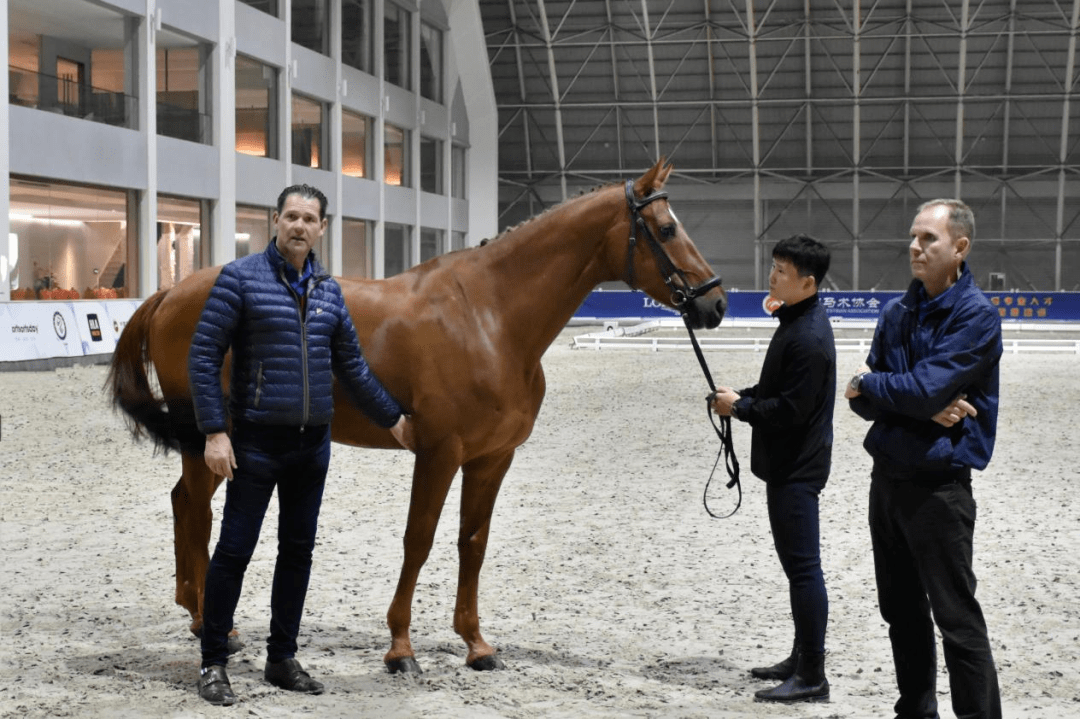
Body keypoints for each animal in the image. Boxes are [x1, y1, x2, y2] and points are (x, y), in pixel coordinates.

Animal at [108, 158, 727, 673]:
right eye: (667, 230)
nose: (715, 303)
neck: (490, 318)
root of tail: (170, 293)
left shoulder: (491, 459)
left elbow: (472, 542)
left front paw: (476, 644)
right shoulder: (438, 452)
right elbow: (419, 539)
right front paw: (400, 648)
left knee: (184, 505)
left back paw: (201, 614)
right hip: (212, 441)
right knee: (194, 509)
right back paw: (207, 621)